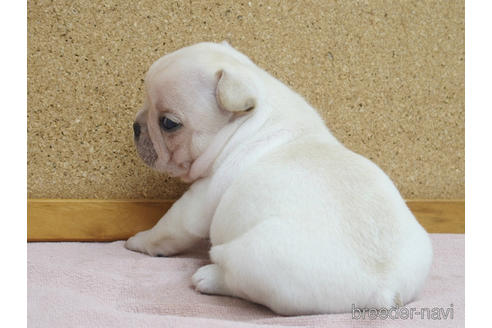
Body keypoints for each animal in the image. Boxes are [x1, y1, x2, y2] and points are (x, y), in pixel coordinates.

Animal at [125, 41, 432, 316]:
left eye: (168, 123)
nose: (136, 127)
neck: (252, 118)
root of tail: (384, 288)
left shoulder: (200, 198)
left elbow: (168, 228)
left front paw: (136, 241)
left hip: (251, 259)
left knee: (236, 281)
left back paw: (208, 277)